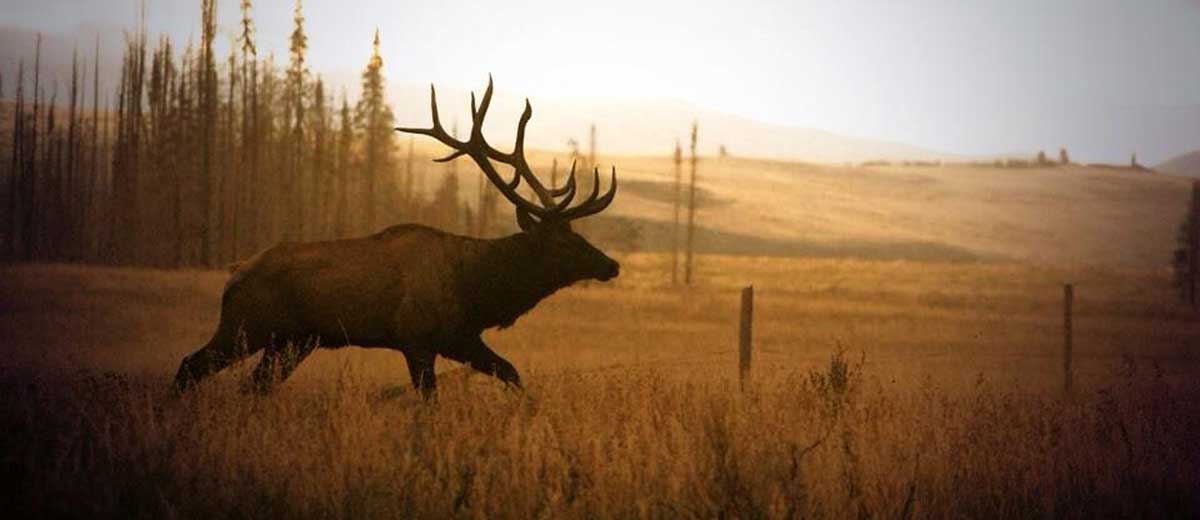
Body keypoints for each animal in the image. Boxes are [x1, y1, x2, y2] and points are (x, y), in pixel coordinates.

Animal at [173, 78, 619, 398]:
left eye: (576, 234)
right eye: (564, 242)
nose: (611, 265)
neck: (477, 288)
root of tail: (234, 274)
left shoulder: (460, 338)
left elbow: (512, 373)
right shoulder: (416, 339)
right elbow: (430, 399)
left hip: (292, 342)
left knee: (254, 386)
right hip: (245, 326)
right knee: (188, 367)